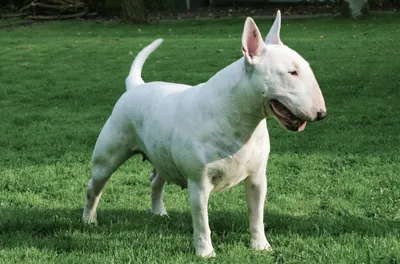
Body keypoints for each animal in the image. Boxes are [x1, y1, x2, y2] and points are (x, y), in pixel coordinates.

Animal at [83, 11, 326, 256]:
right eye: (292, 72)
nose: (321, 113)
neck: (238, 116)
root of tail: (135, 86)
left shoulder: (258, 178)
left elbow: (256, 215)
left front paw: (261, 246)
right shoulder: (199, 183)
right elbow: (202, 223)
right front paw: (206, 252)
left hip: (162, 156)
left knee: (156, 181)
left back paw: (158, 212)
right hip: (107, 157)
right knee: (94, 187)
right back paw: (89, 219)